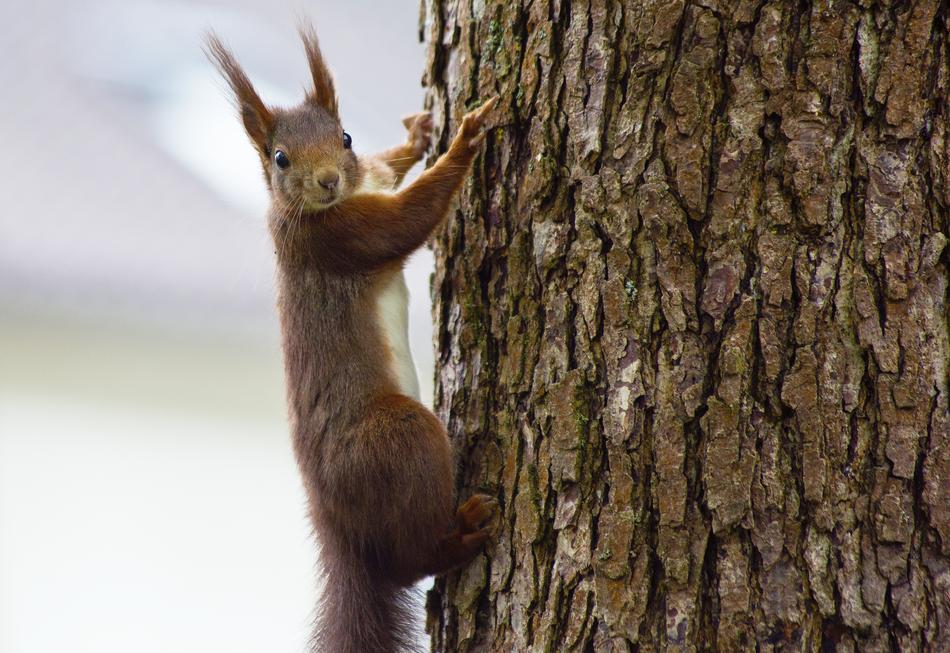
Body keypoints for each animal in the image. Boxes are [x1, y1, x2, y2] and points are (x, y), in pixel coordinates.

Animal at [206, 24, 499, 653]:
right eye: (279, 157)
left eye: (343, 136)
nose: (328, 180)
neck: (338, 200)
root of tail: (335, 526)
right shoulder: (341, 238)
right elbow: (410, 219)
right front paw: (465, 139)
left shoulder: (369, 180)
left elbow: (390, 168)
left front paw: (418, 134)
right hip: (396, 439)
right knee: (408, 563)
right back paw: (459, 535)